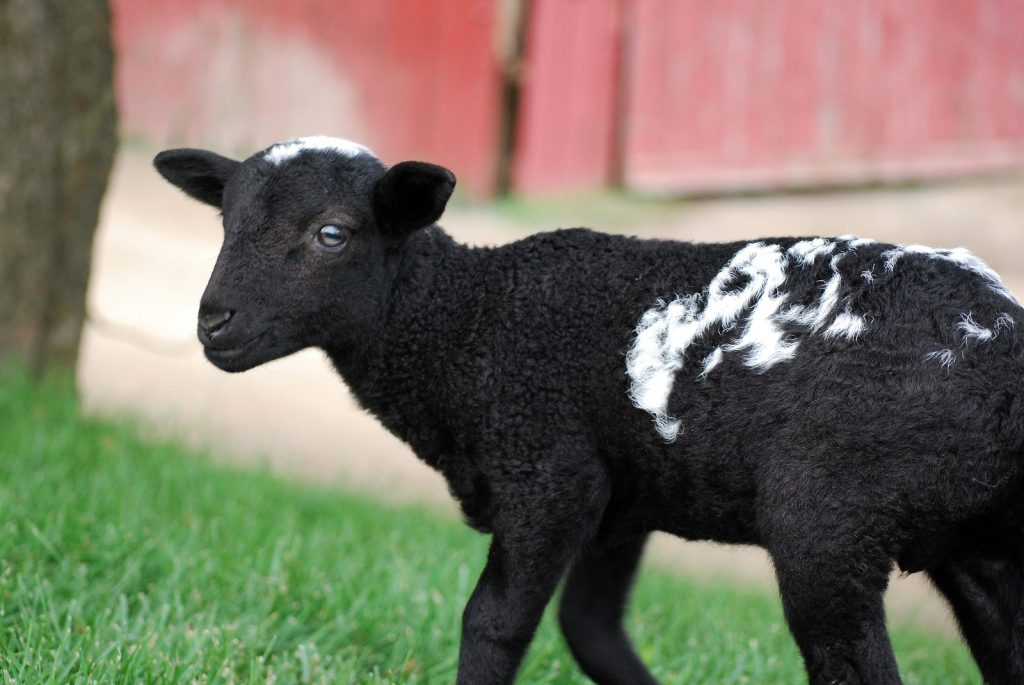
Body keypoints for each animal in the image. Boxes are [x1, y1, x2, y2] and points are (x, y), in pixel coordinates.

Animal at [154, 136, 1024, 685]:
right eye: (227, 221)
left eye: (332, 233)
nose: (212, 322)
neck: (465, 323)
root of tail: (1003, 351)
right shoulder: (621, 501)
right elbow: (592, 631)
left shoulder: (550, 474)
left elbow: (494, 622)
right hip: (978, 547)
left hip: (832, 522)